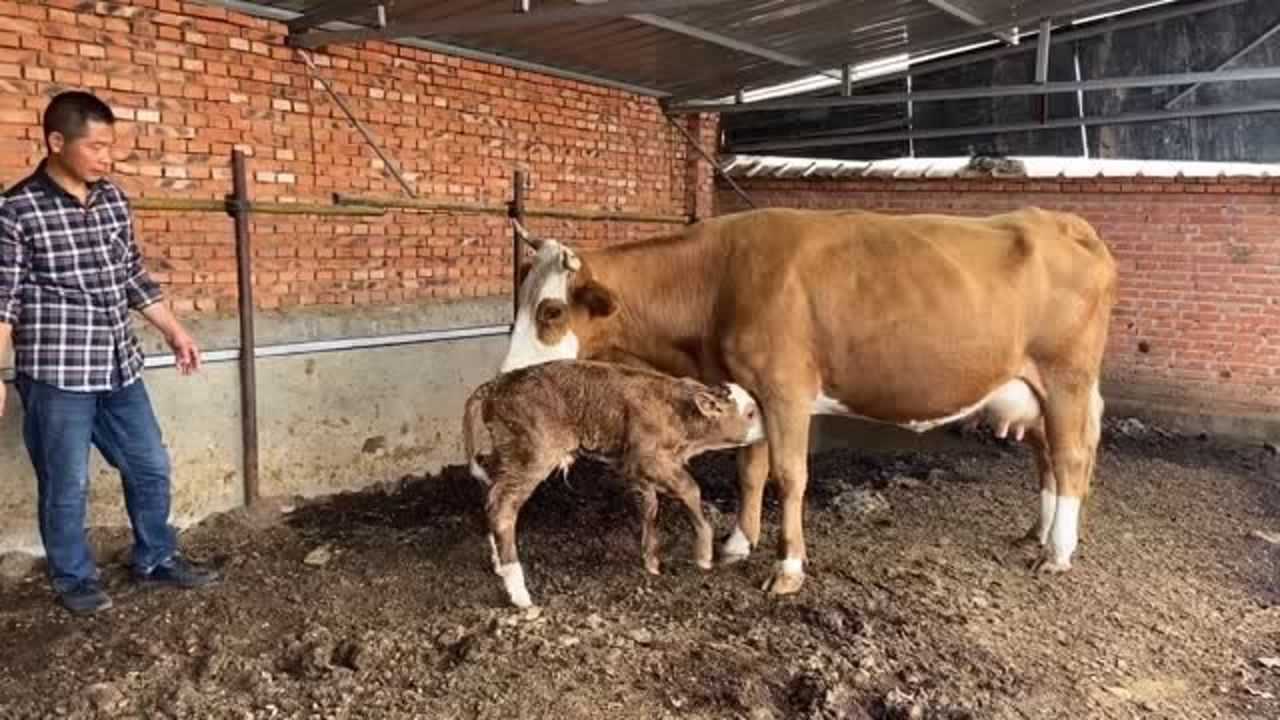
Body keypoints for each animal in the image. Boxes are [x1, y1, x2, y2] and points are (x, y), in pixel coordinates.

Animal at [460, 358, 757, 604]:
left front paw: (651, 561)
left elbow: (649, 506)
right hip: (531, 455)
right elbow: (690, 489)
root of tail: (496, 384)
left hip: (507, 454)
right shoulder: (648, 458)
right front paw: (704, 555)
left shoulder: (635, 467)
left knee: (490, 492)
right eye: (751, 413)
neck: (679, 412)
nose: (764, 429)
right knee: (503, 507)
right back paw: (519, 592)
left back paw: (498, 563)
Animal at [494, 203, 1116, 594]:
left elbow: (790, 476)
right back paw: (1039, 532)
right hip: (1036, 391)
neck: (718, 278)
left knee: (1071, 458)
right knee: (1049, 458)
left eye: (551, 310)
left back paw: (1057, 553)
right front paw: (737, 544)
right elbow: (750, 470)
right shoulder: (749, 389)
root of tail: (1062, 222)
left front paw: (788, 566)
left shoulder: (786, 388)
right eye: (518, 303)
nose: (509, 375)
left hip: (1067, 378)